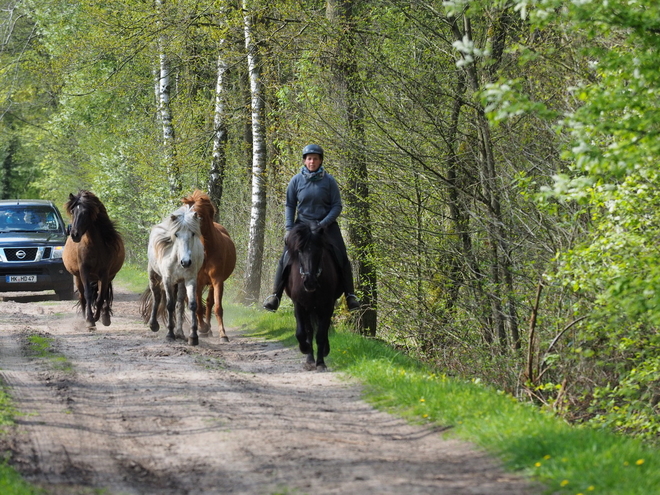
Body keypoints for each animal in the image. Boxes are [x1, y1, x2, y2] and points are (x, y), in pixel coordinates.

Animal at [62, 192, 125, 332]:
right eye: (73, 211)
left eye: (86, 212)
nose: (74, 234)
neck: (93, 245)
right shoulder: (84, 271)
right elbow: (88, 295)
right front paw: (90, 320)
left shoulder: (105, 273)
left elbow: (101, 297)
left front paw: (97, 317)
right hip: (77, 277)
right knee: (82, 297)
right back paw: (85, 317)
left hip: (108, 276)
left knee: (105, 294)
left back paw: (105, 316)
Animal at [144, 204, 204, 344]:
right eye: (176, 234)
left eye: (193, 233)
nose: (186, 262)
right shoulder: (167, 280)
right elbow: (169, 305)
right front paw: (170, 334)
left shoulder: (190, 279)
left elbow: (192, 305)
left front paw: (193, 336)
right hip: (153, 276)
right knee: (156, 296)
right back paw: (153, 324)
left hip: (180, 283)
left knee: (180, 304)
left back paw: (180, 333)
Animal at [182, 190, 236, 340]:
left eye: (197, 215)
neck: (207, 250)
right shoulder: (197, 281)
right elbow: (198, 306)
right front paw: (202, 328)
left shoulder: (217, 280)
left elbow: (216, 307)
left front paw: (223, 334)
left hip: (212, 283)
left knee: (210, 302)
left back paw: (211, 329)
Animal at [284, 223, 342, 370]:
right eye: (299, 251)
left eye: (320, 251)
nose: (309, 282)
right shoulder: (299, 304)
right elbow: (303, 332)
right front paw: (306, 352)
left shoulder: (327, 305)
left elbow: (321, 334)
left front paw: (320, 362)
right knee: (309, 330)